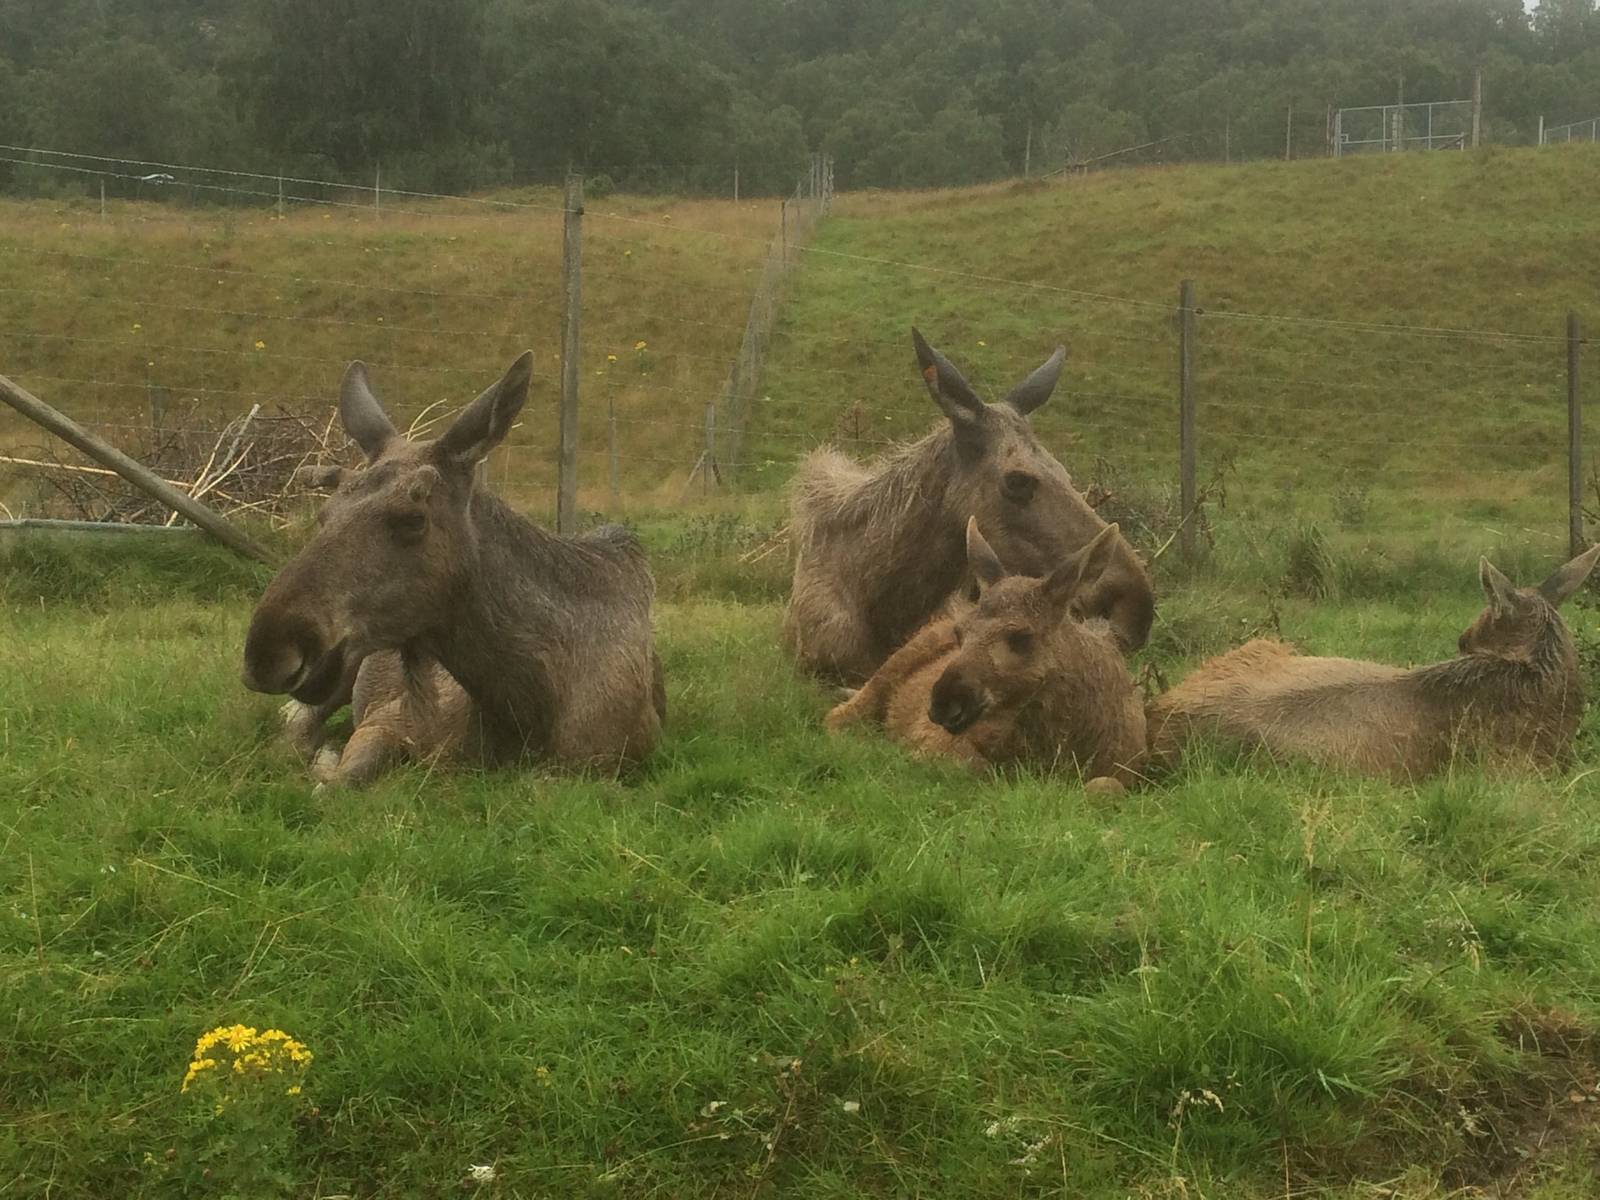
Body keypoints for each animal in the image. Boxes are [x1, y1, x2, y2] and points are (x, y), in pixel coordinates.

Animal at [242, 352, 665, 788]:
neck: (524, 704)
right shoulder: (385, 720)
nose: (267, 649)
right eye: (324, 514)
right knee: (293, 727)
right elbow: (336, 783)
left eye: (413, 518)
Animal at [826, 518, 1147, 791]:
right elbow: (975, 767)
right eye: (961, 633)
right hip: (893, 665)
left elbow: (1104, 785)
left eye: (1022, 637)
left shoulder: (1126, 768)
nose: (944, 702)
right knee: (838, 716)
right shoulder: (937, 738)